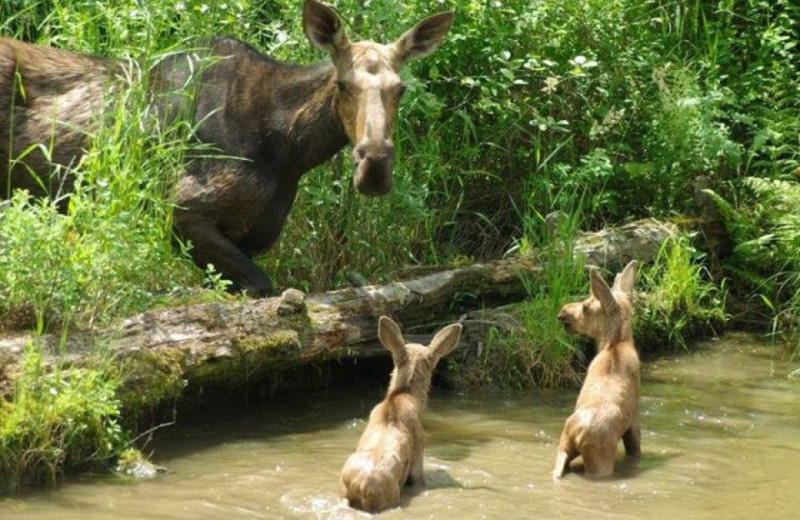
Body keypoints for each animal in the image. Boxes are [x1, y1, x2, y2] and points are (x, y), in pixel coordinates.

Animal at [0, 1, 454, 296]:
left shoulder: (250, 236)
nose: (375, 166)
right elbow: (262, 286)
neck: (291, 153)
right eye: (343, 85)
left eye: (401, 88)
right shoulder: (181, 212)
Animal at [552, 260, 640, 480]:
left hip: (563, 447)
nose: (562, 312)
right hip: (600, 460)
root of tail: (576, 433)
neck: (616, 342)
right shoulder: (634, 419)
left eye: (585, 306)